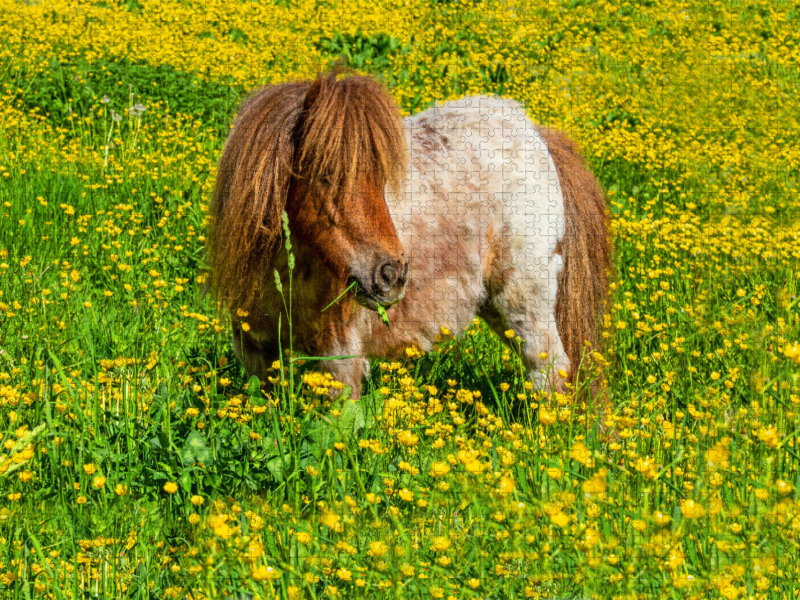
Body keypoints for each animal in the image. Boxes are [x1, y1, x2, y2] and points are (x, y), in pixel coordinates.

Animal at [206, 69, 612, 398]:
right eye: (325, 176)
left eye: (380, 178)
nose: (392, 275)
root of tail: (536, 133)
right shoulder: (257, 354)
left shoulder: (339, 360)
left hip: (525, 302)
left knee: (551, 372)